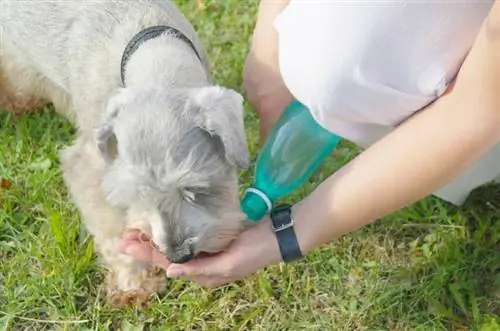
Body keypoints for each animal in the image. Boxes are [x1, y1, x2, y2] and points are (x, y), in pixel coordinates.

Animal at [0, 0, 250, 308]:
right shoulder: (91, 166)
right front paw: (134, 284)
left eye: (194, 190)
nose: (178, 255)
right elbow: (111, 228)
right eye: (136, 194)